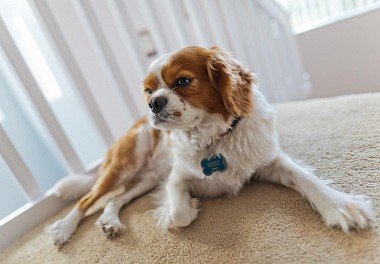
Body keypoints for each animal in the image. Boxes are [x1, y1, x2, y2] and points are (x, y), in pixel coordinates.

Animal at [46, 46, 374, 246]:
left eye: (182, 81)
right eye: (149, 91)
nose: (153, 104)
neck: (214, 138)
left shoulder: (270, 160)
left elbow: (307, 180)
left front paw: (340, 206)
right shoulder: (175, 178)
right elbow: (179, 214)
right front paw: (187, 207)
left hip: (145, 179)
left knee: (115, 200)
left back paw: (110, 221)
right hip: (123, 166)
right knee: (86, 199)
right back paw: (63, 228)